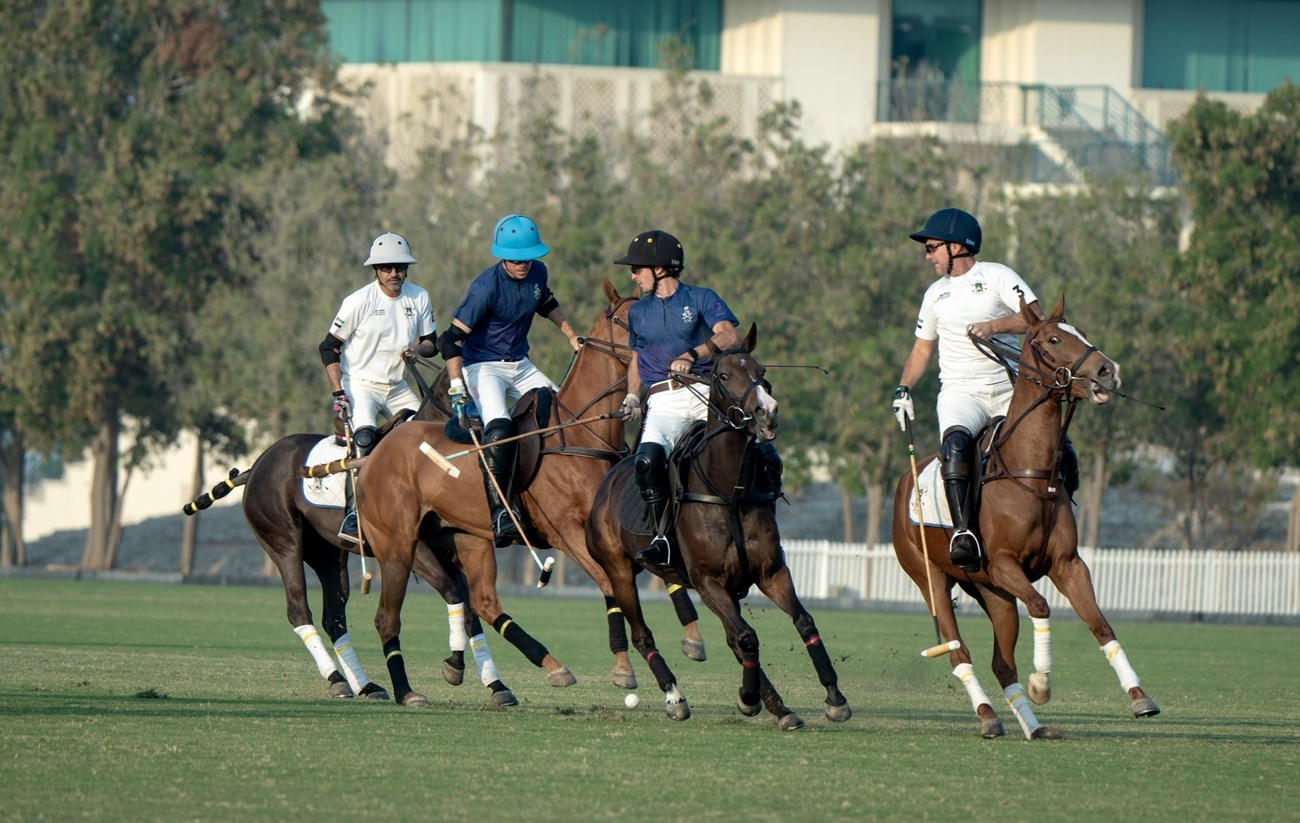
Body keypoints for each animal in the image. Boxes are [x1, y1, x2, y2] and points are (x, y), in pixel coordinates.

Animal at [184, 366, 517, 707]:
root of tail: (257, 465)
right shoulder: (412, 549)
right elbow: (454, 592)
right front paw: (454, 667)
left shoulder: (452, 552)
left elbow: (469, 605)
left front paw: (496, 685)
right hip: (283, 542)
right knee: (298, 610)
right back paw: (337, 679)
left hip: (328, 555)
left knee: (333, 617)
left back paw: (365, 685)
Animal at [351, 279, 707, 702]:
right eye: (628, 321)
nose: (676, 362)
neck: (581, 434)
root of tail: (372, 457)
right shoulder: (565, 531)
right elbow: (609, 584)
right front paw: (623, 668)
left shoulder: (616, 528)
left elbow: (660, 570)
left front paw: (692, 638)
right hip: (398, 545)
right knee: (390, 616)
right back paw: (408, 690)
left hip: (467, 536)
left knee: (480, 601)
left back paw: (527, 670)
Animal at [582, 323, 847, 728]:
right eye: (723, 375)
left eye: (761, 371)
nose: (767, 413)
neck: (728, 491)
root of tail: (612, 474)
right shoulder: (708, 582)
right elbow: (749, 637)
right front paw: (748, 698)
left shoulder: (771, 571)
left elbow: (802, 622)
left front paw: (834, 698)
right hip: (618, 569)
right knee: (643, 635)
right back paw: (675, 698)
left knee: (734, 639)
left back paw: (779, 707)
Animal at [894, 295, 1159, 738]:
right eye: (1053, 339)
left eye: (1079, 331)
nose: (1107, 370)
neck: (1030, 470)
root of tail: (902, 483)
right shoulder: (1004, 563)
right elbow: (1041, 606)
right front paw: (1042, 684)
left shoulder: (1068, 564)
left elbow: (1100, 624)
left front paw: (1140, 697)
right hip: (930, 575)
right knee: (958, 652)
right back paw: (988, 716)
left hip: (992, 592)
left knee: (1001, 663)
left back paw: (1032, 727)